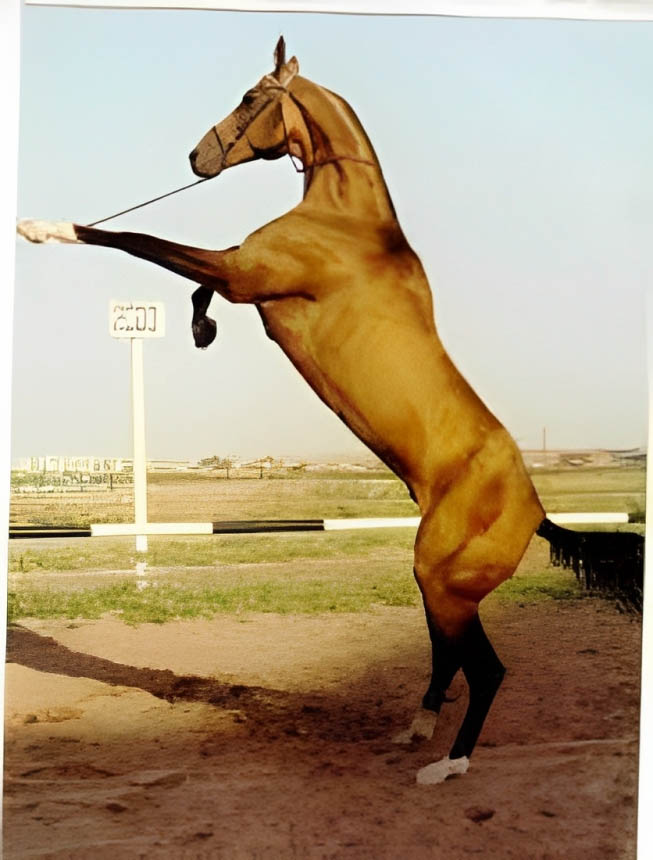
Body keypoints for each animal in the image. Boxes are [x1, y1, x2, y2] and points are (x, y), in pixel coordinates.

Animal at [17, 35, 624, 788]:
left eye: (251, 97)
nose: (196, 158)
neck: (347, 220)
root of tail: (537, 513)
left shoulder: (241, 273)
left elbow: (138, 241)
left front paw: (43, 228)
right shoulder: (242, 277)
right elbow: (190, 283)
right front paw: (200, 330)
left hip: (445, 581)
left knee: (485, 669)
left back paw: (448, 764)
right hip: (437, 583)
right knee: (447, 654)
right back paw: (416, 728)